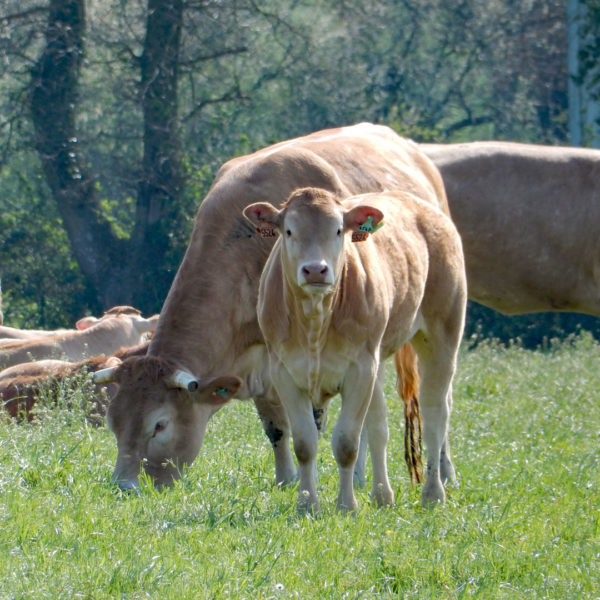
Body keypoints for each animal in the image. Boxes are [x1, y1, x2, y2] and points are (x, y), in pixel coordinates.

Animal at [94, 123, 448, 492]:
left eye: (160, 425)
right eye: (114, 423)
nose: (124, 485)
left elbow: (315, 422)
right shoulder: (261, 362)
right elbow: (276, 426)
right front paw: (286, 478)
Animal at [241, 188, 466, 510]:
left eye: (338, 230)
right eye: (289, 230)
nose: (315, 269)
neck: (315, 321)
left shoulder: (359, 369)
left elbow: (347, 443)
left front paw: (346, 506)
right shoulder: (284, 371)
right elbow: (305, 443)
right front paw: (307, 505)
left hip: (442, 334)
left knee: (435, 412)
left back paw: (433, 493)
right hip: (380, 357)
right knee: (379, 424)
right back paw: (382, 495)